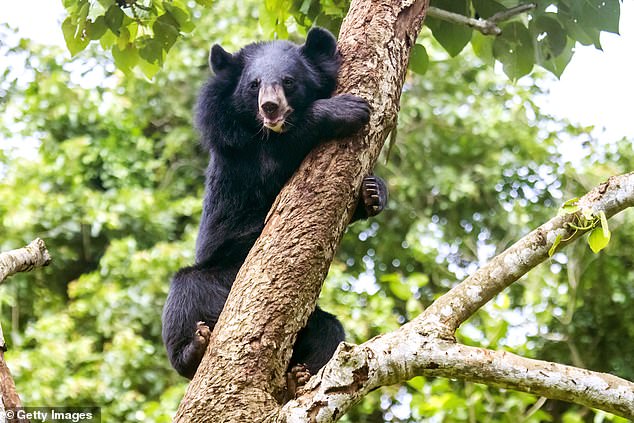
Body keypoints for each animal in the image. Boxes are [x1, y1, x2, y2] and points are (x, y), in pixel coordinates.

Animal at [160, 29, 388, 380]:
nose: (269, 107)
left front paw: (374, 193)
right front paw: (345, 110)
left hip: (310, 322)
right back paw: (193, 350)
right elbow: (272, 161)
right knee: (185, 291)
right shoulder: (235, 145)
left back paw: (300, 376)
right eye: (254, 84)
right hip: (217, 276)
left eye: (289, 81)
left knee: (329, 332)